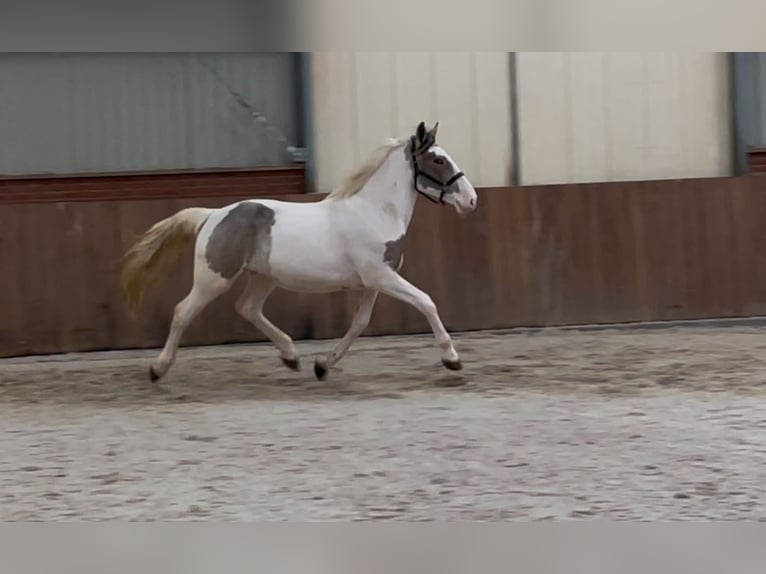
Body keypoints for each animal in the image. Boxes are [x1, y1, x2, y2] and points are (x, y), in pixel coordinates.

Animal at [120, 121, 480, 382]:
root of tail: (213, 215)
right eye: (438, 159)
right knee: (183, 311)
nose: (471, 200)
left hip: (262, 277)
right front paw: (452, 359)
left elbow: (359, 323)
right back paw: (158, 369)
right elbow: (426, 302)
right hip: (214, 278)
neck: (375, 212)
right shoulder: (382, 277)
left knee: (247, 308)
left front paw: (323, 364)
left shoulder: (372, 283)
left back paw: (291, 357)